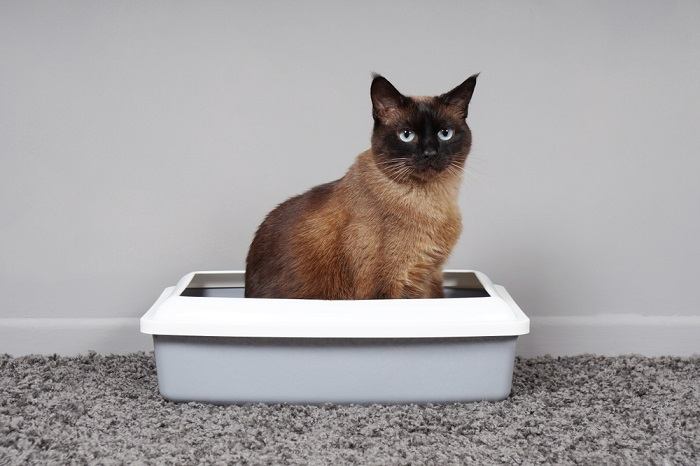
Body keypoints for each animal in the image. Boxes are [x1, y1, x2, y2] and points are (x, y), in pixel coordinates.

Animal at [243, 73, 478, 298]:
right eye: (406, 135)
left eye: (445, 133)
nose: (430, 153)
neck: (432, 201)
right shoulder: (388, 285)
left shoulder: (430, 277)